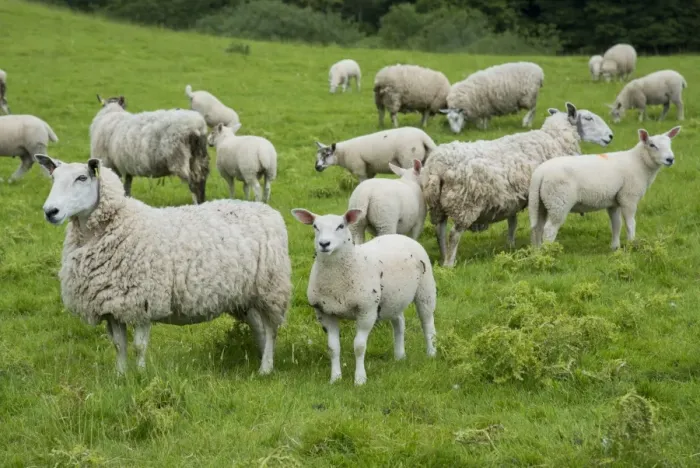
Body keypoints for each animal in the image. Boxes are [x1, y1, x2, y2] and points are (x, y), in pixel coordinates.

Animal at [34, 155, 292, 376]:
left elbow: (139, 346)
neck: (117, 225)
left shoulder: (143, 301)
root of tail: (267, 210)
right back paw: (262, 357)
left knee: (271, 329)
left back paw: (266, 368)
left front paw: (140, 375)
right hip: (245, 296)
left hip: (270, 288)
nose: (50, 211)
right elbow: (118, 345)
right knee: (259, 327)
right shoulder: (112, 305)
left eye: (82, 178)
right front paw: (120, 376)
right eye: (53, 178)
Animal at [291, 207, 437, 386]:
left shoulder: (366, 311)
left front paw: (360, 379)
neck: (336, 282)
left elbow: (359, 347)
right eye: (315, 226)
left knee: (427, 323)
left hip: (425, 289)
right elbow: (333, 348)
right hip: (392, 299)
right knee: (399, 323)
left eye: (341, 226)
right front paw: (335, 378)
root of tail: (399, 236)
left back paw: (431, 353)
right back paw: (400, 356)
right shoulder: (325, 313)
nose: (324, 244)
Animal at [421, 102, 614, 267]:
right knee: (453, 235)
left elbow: (512, 223)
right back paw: (449, 263)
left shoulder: (512, 197)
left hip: (438, 204)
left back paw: (443, 255)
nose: (611, 136)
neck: (555, 139)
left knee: (440, 231)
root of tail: (437, 166)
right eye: (588, 118)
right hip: (466, 203)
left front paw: (511, 244)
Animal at [529, 126, 681, 250]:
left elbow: (616, 224)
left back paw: (538, 251)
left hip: (541, 202)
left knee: (537, 227)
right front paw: (632, 244)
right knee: (549, 229)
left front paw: (615, 247)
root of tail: (539, 173)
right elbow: (630, 223)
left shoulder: (614, 201)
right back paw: (549, 251)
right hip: (559, 201)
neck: (639, 163)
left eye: (670, 144)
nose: (670, 159)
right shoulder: (628, 197)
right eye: (652, 145)